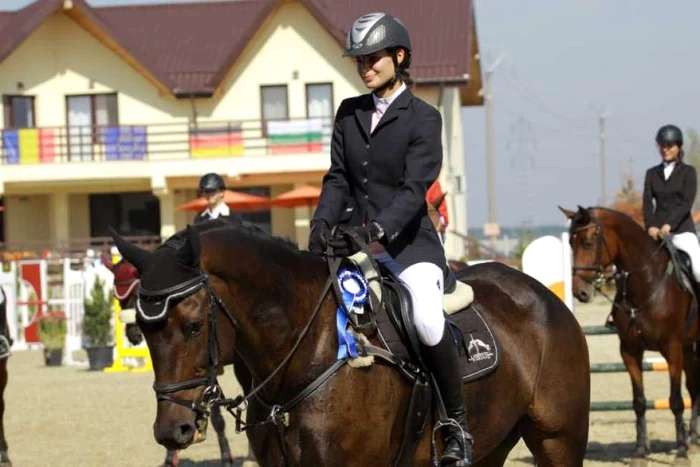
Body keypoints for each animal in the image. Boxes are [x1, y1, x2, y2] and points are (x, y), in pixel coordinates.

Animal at [564, 206, 700, 464]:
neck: (646, 283)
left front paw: (680, 452)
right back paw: (694, 440)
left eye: (588, 242)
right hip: (689, 348)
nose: (580, 292)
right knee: (694, 387)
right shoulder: (629, 351)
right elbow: (639, 402)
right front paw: (639, 452)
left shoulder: (672, 349)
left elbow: (676, 401)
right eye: (570, 243)